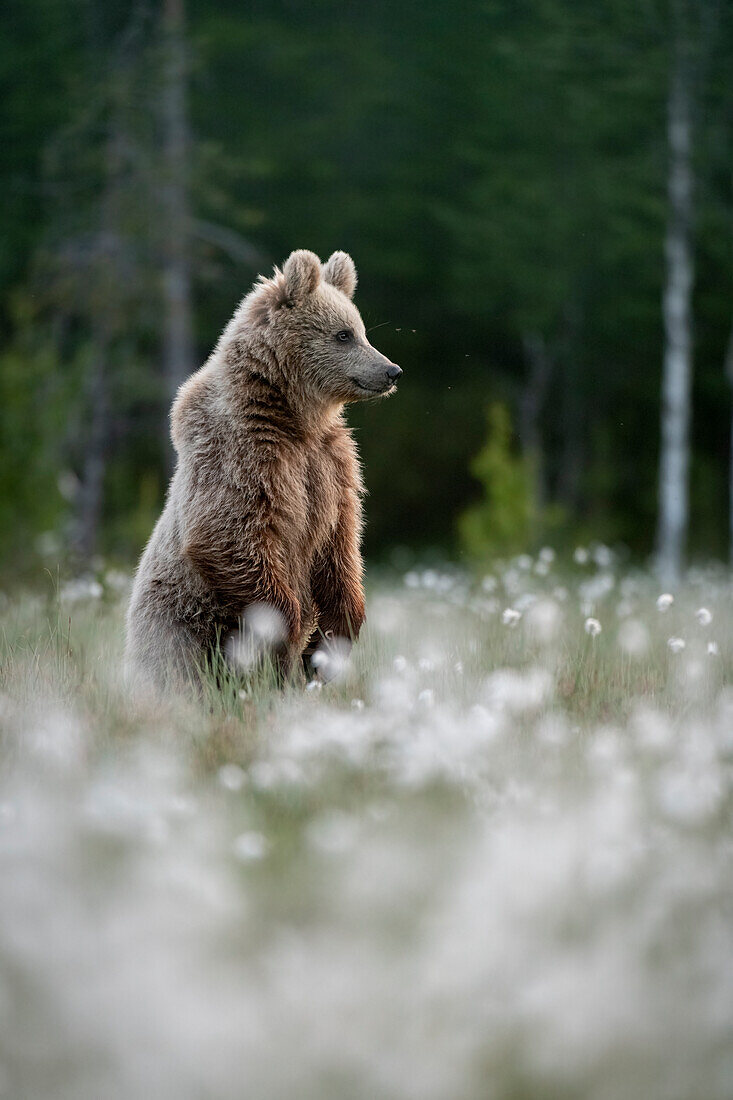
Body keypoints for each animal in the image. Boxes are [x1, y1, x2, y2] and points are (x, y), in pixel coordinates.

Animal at [125, 253, 400, 690]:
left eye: (361, 330)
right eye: (343, 335)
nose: (392, 371)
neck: (294, 416)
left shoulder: (331, 464)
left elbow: (341, 545)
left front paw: (324, 649)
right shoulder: (244, 455)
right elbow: (230, 534)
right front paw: (285, 641)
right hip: (182, 620)